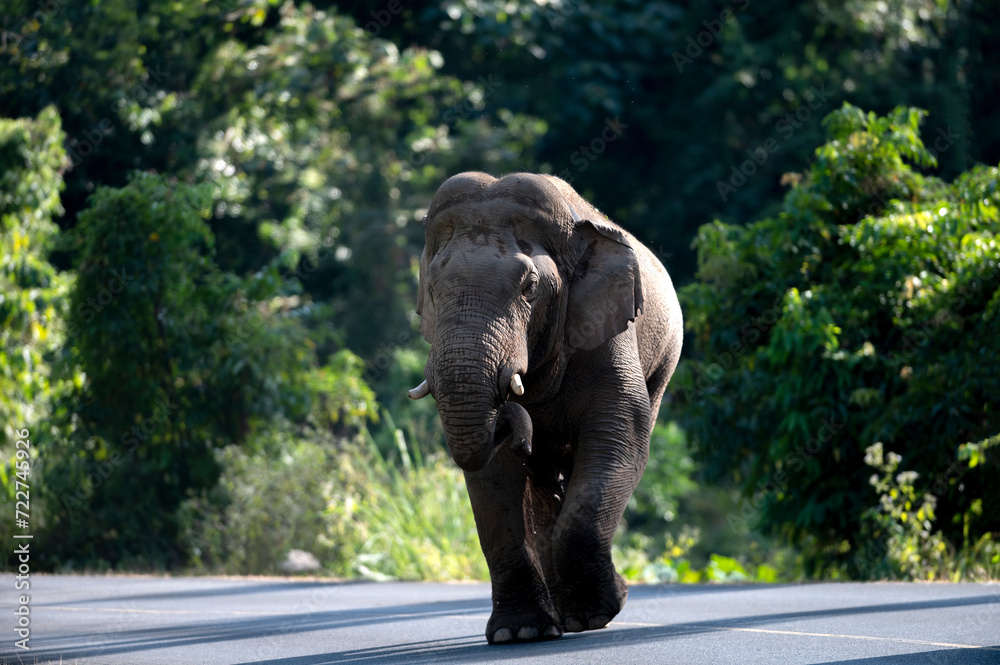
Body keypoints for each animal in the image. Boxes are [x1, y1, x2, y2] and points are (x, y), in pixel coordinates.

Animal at [408, 172, 683, 644]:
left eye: (530, 288)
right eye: (434, 290)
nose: (511, 414)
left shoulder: (606, 335)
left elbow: (619, 440)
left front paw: (595, 614)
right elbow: (493, 477)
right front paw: (518, 633)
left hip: (664, 364)